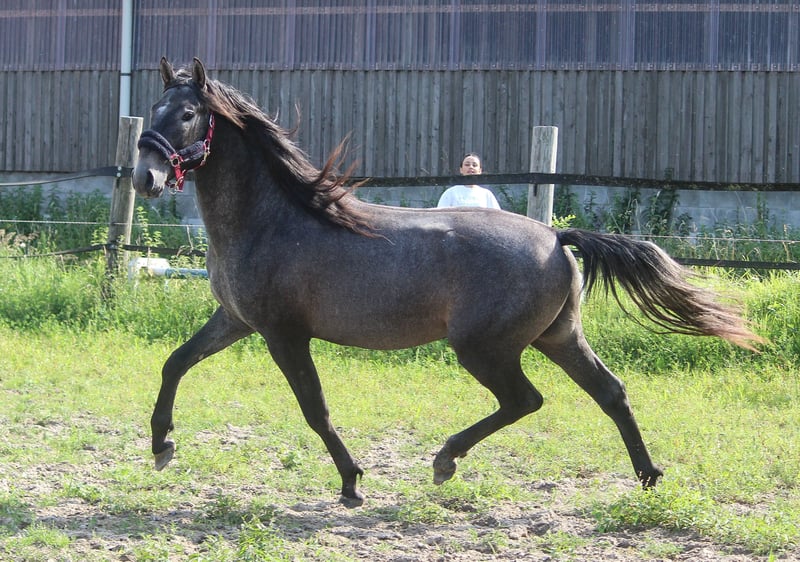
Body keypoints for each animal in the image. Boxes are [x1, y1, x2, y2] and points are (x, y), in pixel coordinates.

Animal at [132, 58, 761, 506]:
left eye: (185, 114)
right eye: (152, 107)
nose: (145, 177)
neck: (271, 220)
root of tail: (556, 237)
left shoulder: (283, 334)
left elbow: (316, 410)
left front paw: (352, 483)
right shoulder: (236, 321)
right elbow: (173, 363)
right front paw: (162, 445)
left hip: (485, 348)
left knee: (525, 400)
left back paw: (444, 460)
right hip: (559, 337)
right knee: (611, 393)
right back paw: (649, 476)